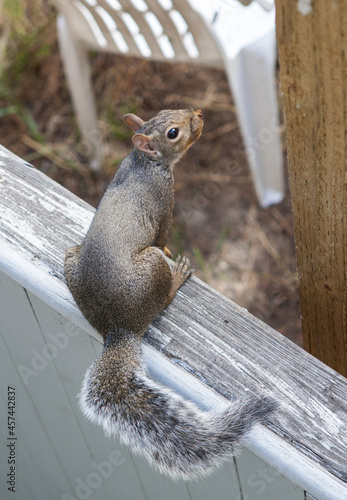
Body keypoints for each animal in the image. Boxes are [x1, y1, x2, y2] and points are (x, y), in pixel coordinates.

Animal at [64, 109, 278, 480]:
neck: (143, 163)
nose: (199, 113)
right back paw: (176, 278)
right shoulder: (164, 207)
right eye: (173, 132)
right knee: (162, 298)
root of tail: (115, 327)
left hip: (70, 260)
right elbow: (163, 237)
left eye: (167, 112)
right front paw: (171, 253)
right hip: (152, 269)